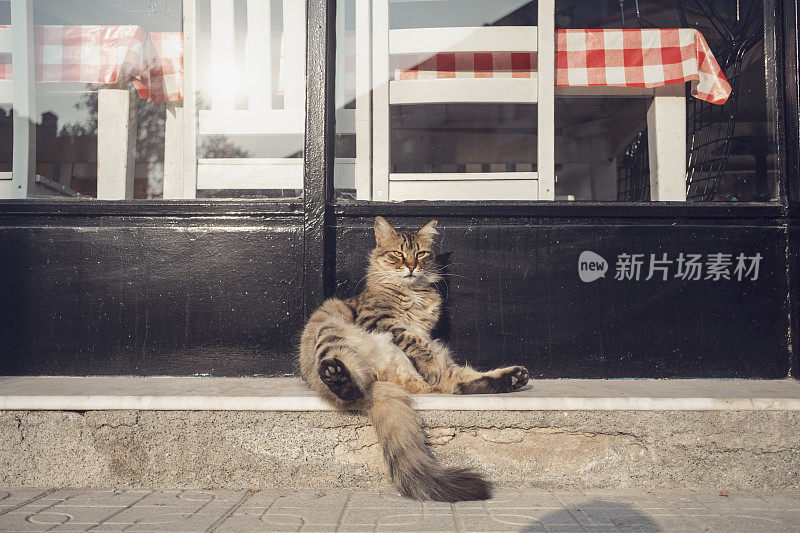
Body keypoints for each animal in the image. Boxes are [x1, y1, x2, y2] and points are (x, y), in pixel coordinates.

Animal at [296, 215, 528, 498]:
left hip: (438, 366)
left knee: (452, 385)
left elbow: (423, 346)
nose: (411, 267)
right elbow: (415, 340)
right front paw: (426, 363)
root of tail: (377, 384)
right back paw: (339, 376)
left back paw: (514, 378)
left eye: (420, 254)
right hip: (331, 333)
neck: (412, 292)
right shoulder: (380, 321)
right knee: (353, 389)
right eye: (398, 254)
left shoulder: (422, 333)